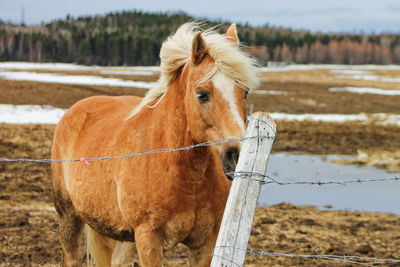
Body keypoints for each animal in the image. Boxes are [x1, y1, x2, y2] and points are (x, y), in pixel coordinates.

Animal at [50, 22, 260, 266]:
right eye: (202, 94)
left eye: (244, 92)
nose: (237, 155)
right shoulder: (148, 238)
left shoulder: (204, 244)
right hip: (69, 217)